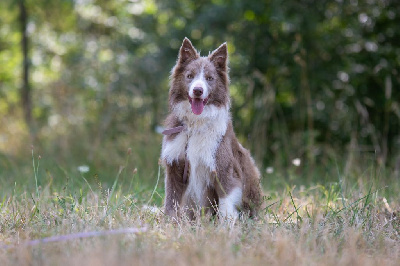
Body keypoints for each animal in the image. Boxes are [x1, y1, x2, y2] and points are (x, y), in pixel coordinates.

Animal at [159, 37, 262, 220]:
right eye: (190, 76)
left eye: (209, 78)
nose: (197, 90)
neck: (194, 124)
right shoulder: (175, 167)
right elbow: (171, 202)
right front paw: (169, 223)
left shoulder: (223, 169)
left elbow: (226, 204)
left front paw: (226, 225)